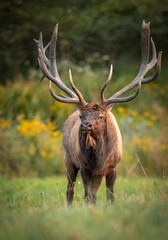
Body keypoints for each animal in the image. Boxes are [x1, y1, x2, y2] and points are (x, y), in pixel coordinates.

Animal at [34, 21, 161, 204]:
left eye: (101, 116)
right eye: (82, 115)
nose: (86, 125)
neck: (99, 159)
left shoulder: (113, 167)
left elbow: (110, 194)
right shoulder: (84, 167)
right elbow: (88, 197)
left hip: (95, 172)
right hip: (68, 159)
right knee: (70, 189)